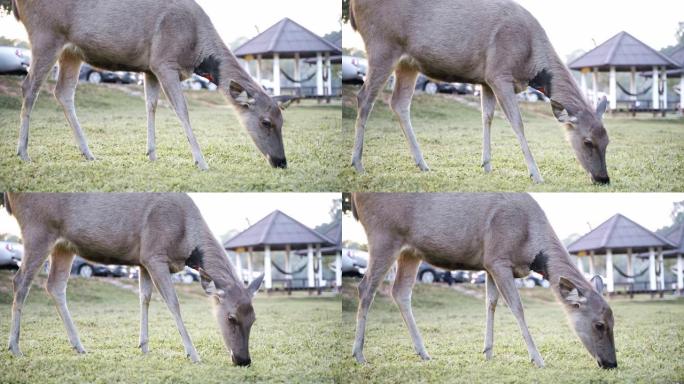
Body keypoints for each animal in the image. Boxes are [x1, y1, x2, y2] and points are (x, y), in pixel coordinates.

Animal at [2, 192, 264, 366]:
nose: (243, 360)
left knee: (54, 286)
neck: (186, 241)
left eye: (253, 319)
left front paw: (144, 346)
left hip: (64, 246)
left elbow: (144, 298)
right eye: (230, 318)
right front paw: (193, 354)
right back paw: (15, 346)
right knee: (20, 281)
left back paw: (79, 346)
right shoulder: (154, 255)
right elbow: (173, 303)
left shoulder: (142, 260)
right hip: (38, 230)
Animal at [12, 0, 288, 170]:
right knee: (29, 87)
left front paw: (152, 154)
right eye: (265, 122)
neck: (196, 51)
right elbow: (182, 111)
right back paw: (23, 153)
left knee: (63, 92)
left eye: (283, 121)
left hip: (72, 52)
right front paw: (201, 161)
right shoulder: (164, 62)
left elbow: (151, 106)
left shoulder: (149, 68)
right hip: (46, 36)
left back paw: (88, 153)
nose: (281, 161)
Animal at [350, 0, 612, 184]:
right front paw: (535, 174)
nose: (603, 179)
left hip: (408, 63)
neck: (530, 62)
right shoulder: (499, 73)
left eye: (608, 141)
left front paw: (486, 164)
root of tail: (353, 7)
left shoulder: (485, 80)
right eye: (587, 142)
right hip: (382, 45)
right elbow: (517, 123)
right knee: (364, 97)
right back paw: (357, 163)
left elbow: (487, 117)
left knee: (399, 103)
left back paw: (422, 163)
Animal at [350, 194, 616, 370]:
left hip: (410, 252)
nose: (611, 363)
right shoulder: (498, 260)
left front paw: (487, 352)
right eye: (599, 325)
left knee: (400, 292)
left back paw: (423, 352)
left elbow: (491, 302)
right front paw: (538, 358)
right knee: (366, 288)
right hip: (383, 236)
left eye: (614, 322)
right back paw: (359, 354)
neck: (530, 246)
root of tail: (356, 197)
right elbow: (517, 308)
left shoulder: (488, 264)